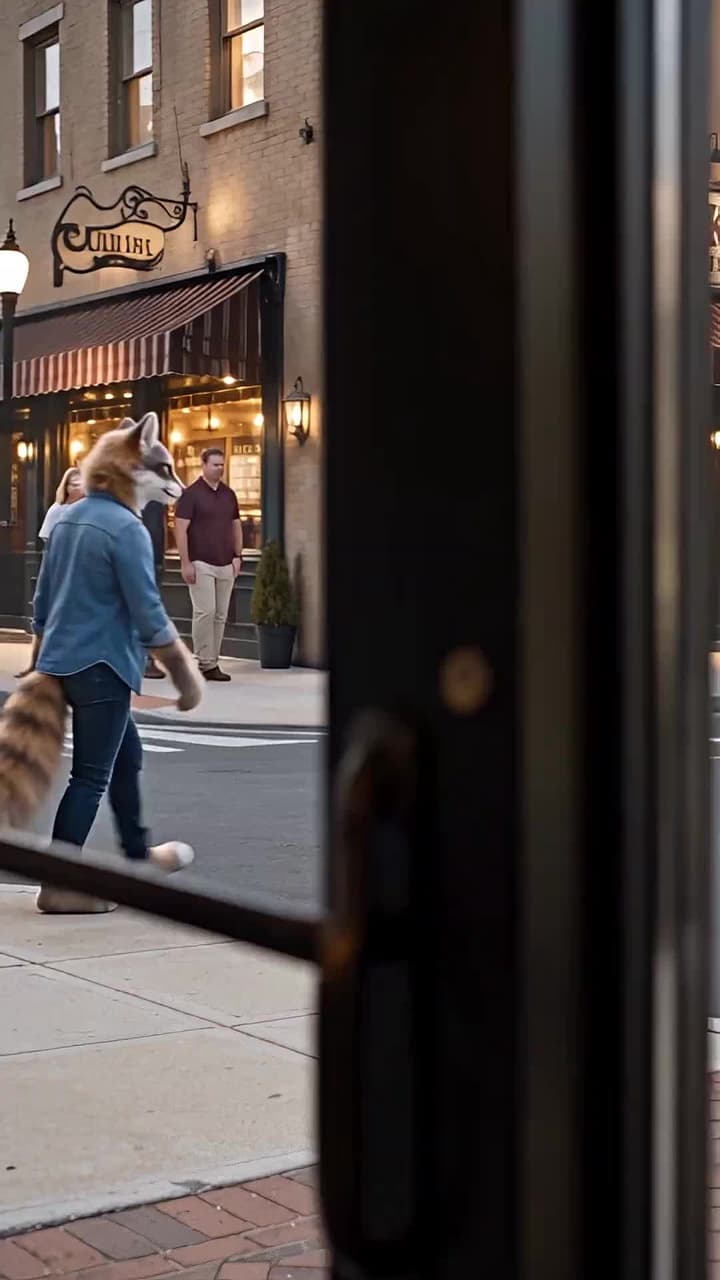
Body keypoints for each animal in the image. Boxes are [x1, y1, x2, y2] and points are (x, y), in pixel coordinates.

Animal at [0, 412, 202, 902]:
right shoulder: (132, 547)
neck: (106, 494)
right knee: (93, 779)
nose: (184, 491)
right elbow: (149, 612)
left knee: (124, 764)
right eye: (167, 467)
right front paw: (187, 681)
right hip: (103, 689)